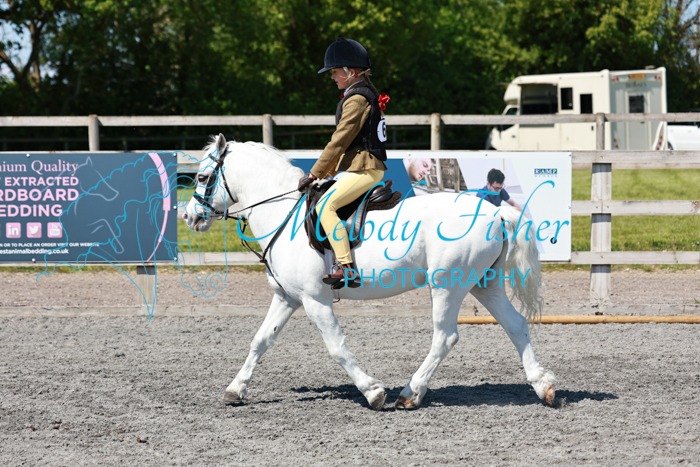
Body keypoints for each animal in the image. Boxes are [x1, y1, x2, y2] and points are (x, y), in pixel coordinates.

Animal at [183, 133, 556, 410]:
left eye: (202, 177)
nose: (190, 216)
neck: (281, 212)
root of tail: (495, 213)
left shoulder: (315, 300)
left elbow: (336, 347)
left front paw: (373, 392)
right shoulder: (288, 297)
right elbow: (261, 340)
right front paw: (235, 389)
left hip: (447, 285)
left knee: (446, 336)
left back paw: (410, 393)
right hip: (483, 283)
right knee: (515, 325)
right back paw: (543, 386)